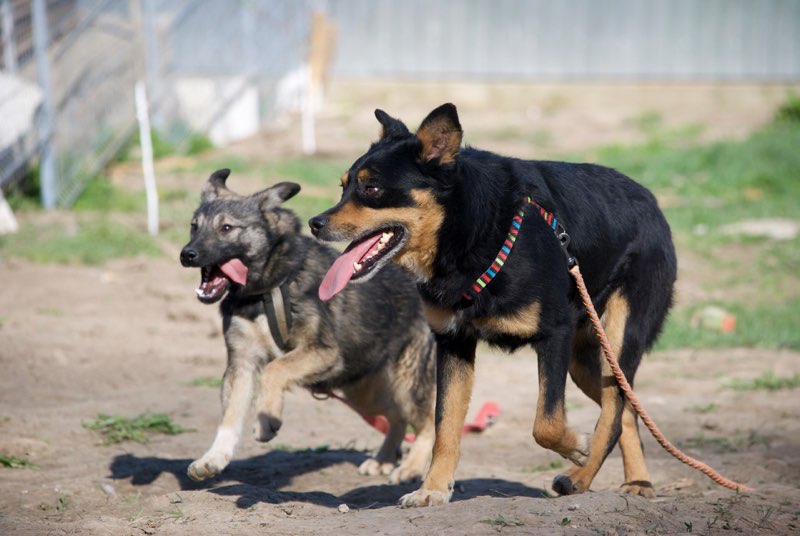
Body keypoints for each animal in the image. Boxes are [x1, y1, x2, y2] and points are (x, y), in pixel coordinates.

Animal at [180, 170, 434, 484]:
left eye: (226, 228)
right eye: (194, 227)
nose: (187, 254)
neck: (268, 288)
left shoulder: (323, 351)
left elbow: (275, 370)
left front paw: (267, 419)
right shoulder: (241, 364)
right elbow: (230, 416)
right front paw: (213, 459)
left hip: (406, 381)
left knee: (427, 422)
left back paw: (411, 467)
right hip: (363, 389)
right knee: (396, 417)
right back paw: (383, 459)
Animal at [310, 103, 680, 506]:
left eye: (372, 188)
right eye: (344, 187)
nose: (315, 222)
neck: (474, 230)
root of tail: (652, 202)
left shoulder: (555, 334)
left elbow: (546, 422)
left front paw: (576, 446)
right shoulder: (453, 343)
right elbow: (445, 427)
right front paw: (433, 489)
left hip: (616, 337)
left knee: (613, 413)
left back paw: (583, 477)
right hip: (585, 361)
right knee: (628, 409)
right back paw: (633, 480)